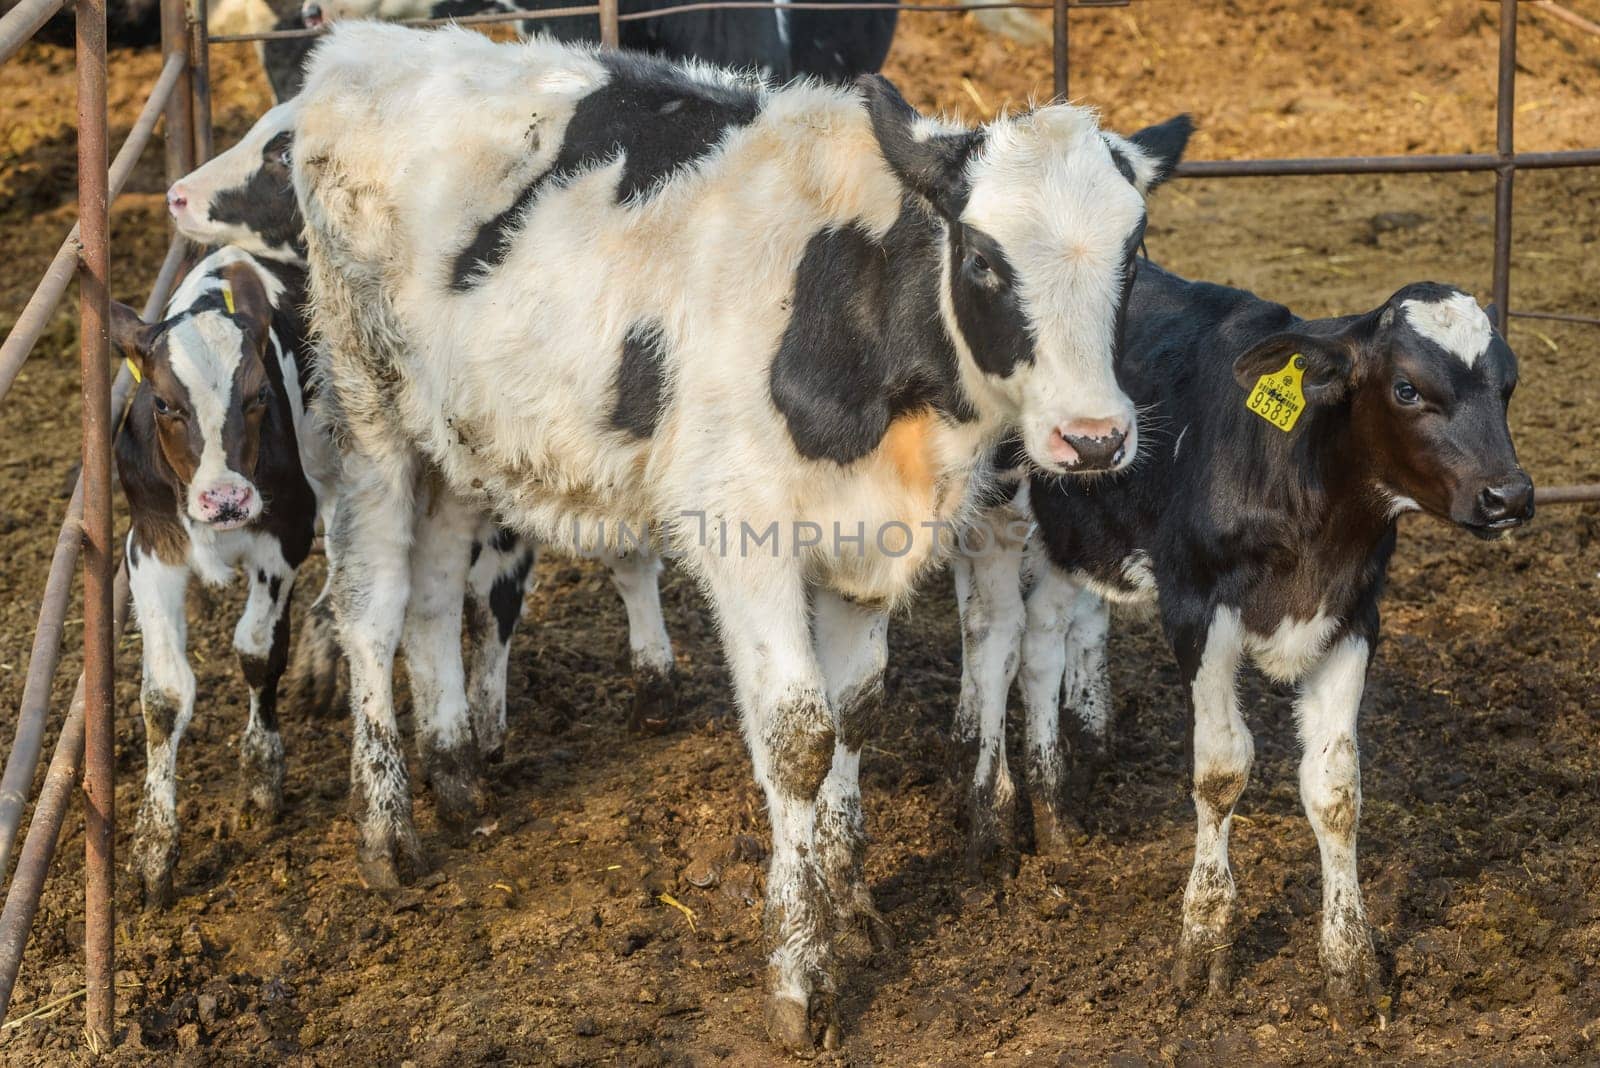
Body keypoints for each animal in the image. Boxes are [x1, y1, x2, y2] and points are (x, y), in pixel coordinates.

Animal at [112, 251, 328, 908]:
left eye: (259, 395)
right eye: (162, 404)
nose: (226, 499)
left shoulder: (288, 530)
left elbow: (257, 650)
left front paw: (261, 775)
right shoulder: (149, 546)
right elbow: (164, 694)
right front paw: (153, 851)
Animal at [291, 27, 1190, 1048]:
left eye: (1133, 255)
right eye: (985, 260)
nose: (1096, 438)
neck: (855, 311)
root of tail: (369, 44)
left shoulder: (865, 537)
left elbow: (856, 712)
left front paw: (852, 904)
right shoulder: (744, 532)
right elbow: (799, 736)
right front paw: (800, 973)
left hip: (456, 437)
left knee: (438, 595)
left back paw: (454, 780)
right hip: (367, 409)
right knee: (371, 606)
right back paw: (386, 831)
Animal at [953, 260, 1529, 1016]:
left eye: (1508, 383)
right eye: (1406, 388)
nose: (1510, 496)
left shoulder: (1353, 618)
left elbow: (1336, 789)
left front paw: (1351, 964)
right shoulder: (1197, 610)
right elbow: (1221, 771)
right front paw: (1203, 939)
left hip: (1069, 530)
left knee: (1044, 638)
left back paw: (1053, 815)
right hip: (995, 504)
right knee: (995, 639)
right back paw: (992, 820)